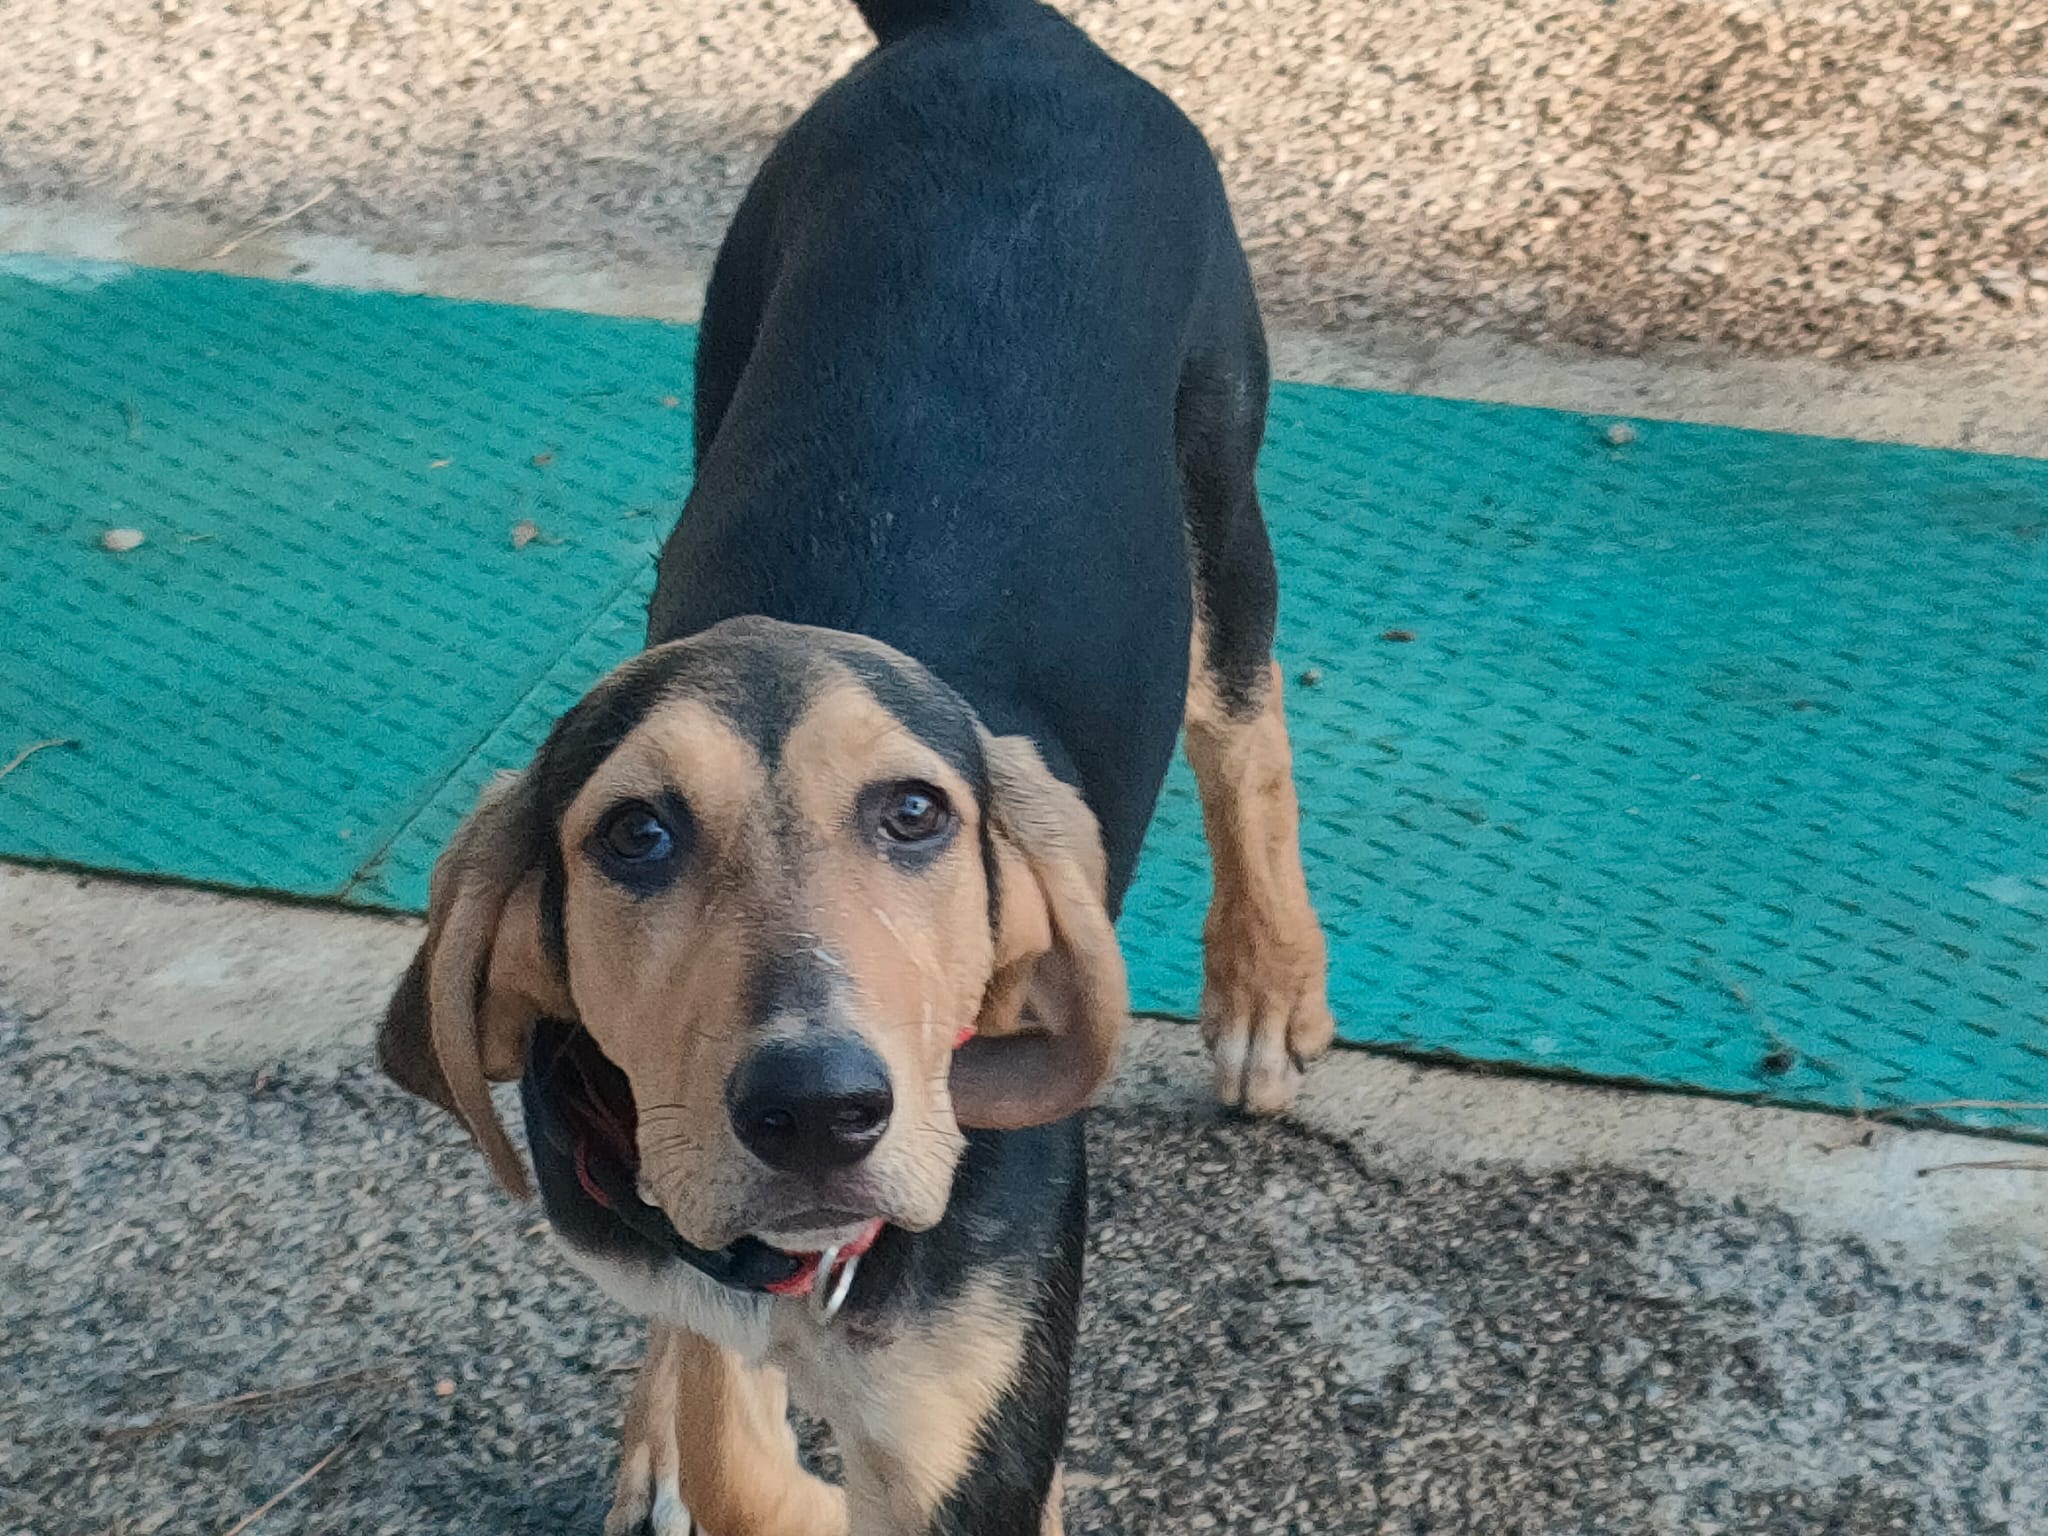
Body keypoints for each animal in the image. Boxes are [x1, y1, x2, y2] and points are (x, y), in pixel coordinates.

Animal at [376, 1, 1335, 1531]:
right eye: (634, 835)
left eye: (915, 814)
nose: (818, 1112)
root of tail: (997, 31)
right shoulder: (669, 1243)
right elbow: (725, 1415)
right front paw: (689, 1427)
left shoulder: (972, 1433)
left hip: (1216, 478)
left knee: (1242, 726)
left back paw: (1263, 985)